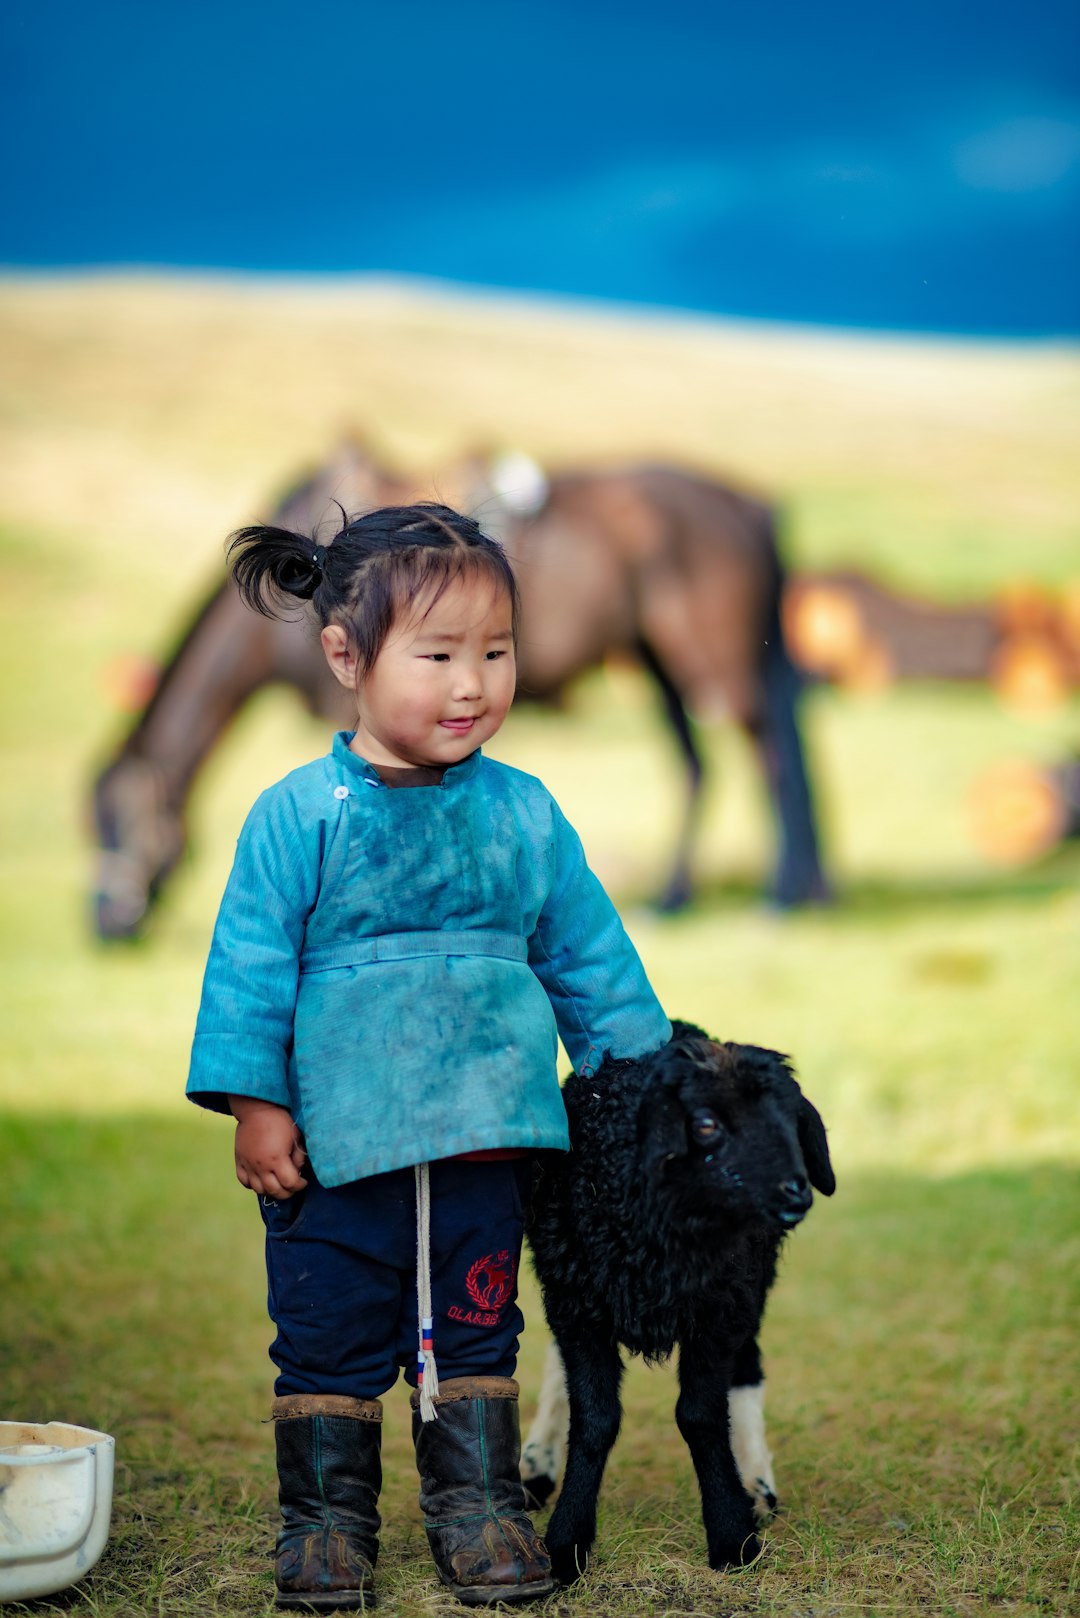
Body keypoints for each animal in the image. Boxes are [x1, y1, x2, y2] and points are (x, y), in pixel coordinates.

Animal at [93, 443, 829, 944]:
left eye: (115, 825)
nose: (104, 924)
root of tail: (752, 505)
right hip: (656, 660)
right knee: (700, 764)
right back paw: (681, 899)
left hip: (716, 661)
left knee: (772, 760)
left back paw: (778, 898)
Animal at [524, 1016, 835, 1572]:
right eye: (706, 1124)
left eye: (791, 1121)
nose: (796, 1191)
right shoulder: (578, 1305)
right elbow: (596, 1418)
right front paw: (566, 1543)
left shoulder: (720, 1309)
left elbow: (700, 1415)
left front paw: (733, 1535)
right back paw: (537, 1465)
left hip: (750, 1286)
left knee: (747, 1368)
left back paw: (756, 1485)